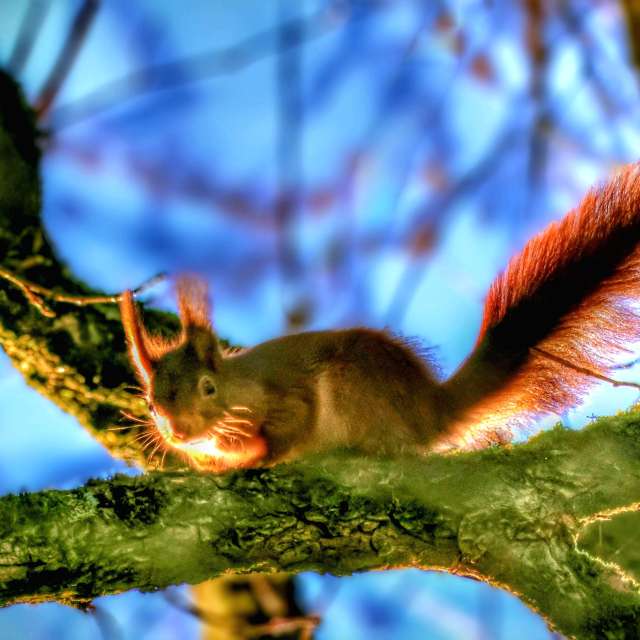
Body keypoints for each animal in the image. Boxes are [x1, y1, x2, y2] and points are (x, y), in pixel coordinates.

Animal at [120, 164, 640, 472]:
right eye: (151, 404)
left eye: (208, 388)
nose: (177, 432)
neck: (235, 395)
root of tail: (429, 409)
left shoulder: (286, 397)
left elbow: (290, 429)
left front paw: (259, 460)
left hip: (353, 388)